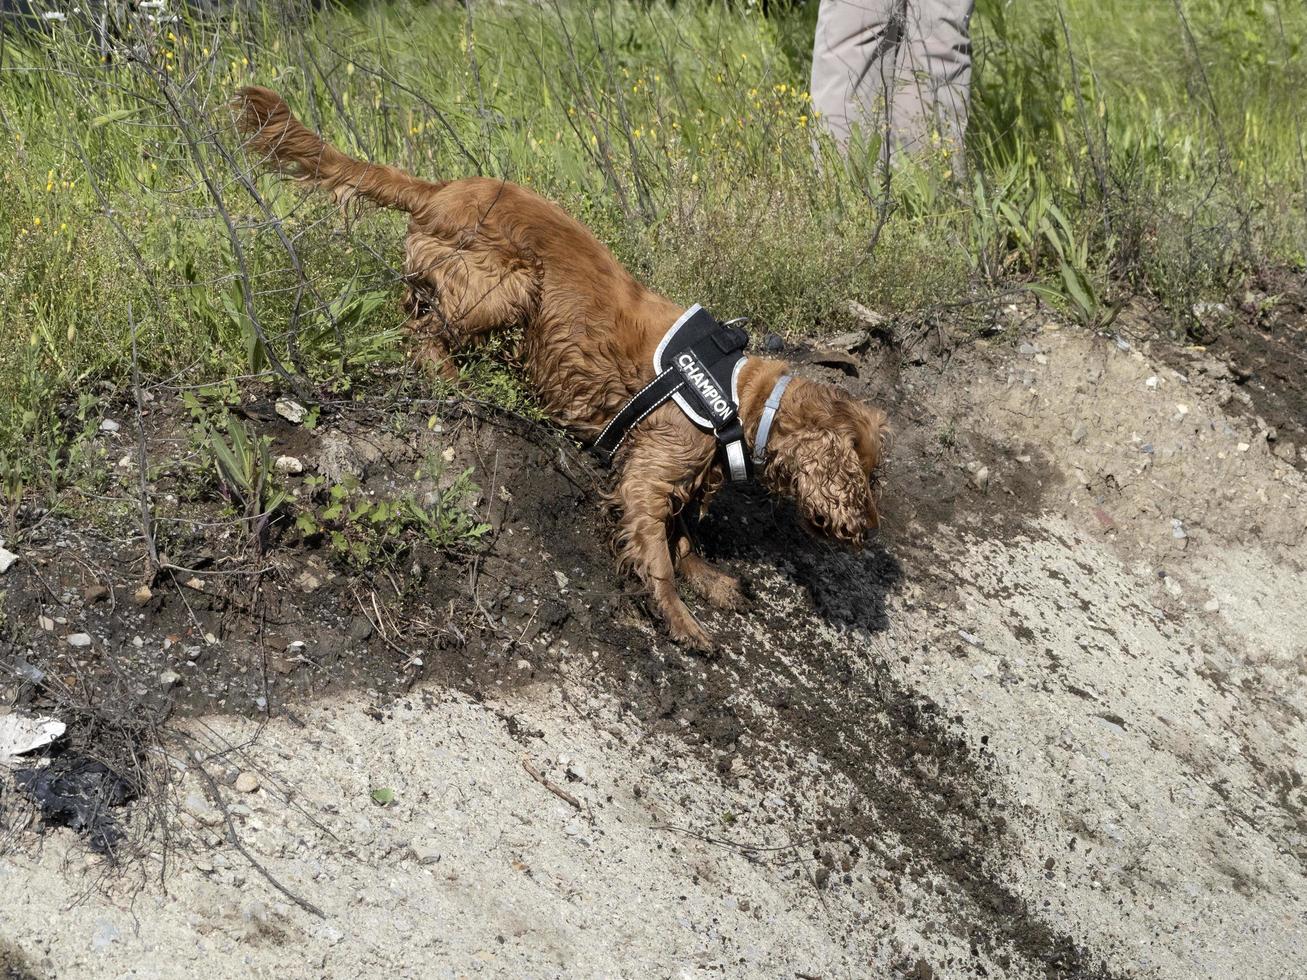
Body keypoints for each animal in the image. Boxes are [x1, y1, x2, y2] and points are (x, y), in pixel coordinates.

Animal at [235, 86, 888, 653]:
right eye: (869, 477)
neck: (739, 394)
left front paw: (712, 580)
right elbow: (657, 550)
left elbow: (681, 537)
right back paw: (454, 379)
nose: (872, 529)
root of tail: (440, 189)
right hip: (511, 283)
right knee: (422, 330)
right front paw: (680, 620)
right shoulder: (650, 471)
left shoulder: (678, 473)